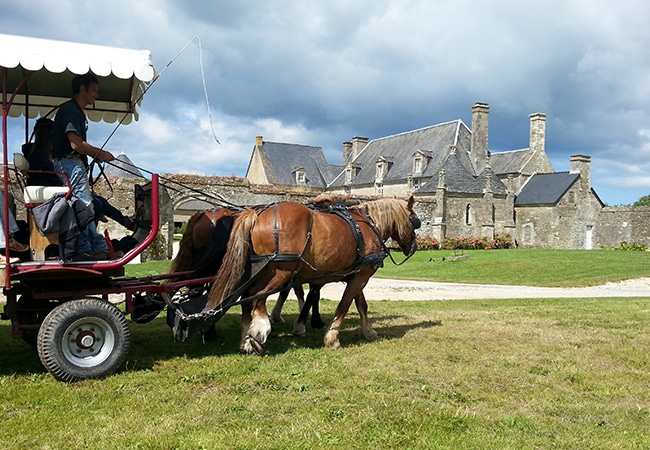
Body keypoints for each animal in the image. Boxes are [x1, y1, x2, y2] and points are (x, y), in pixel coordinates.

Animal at [208, 195, 420, 354]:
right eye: (415, 221)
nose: (413, 248)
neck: (369, 225)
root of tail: (256, 214)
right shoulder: (361, 275)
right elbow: (344, 305)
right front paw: (332, 338)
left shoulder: (357, 274)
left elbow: (361, 304)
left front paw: (368, 331)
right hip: (281, 271)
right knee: (257, 297)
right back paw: (260, 330)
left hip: (260, 270)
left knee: (247, 296)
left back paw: (246, 337)